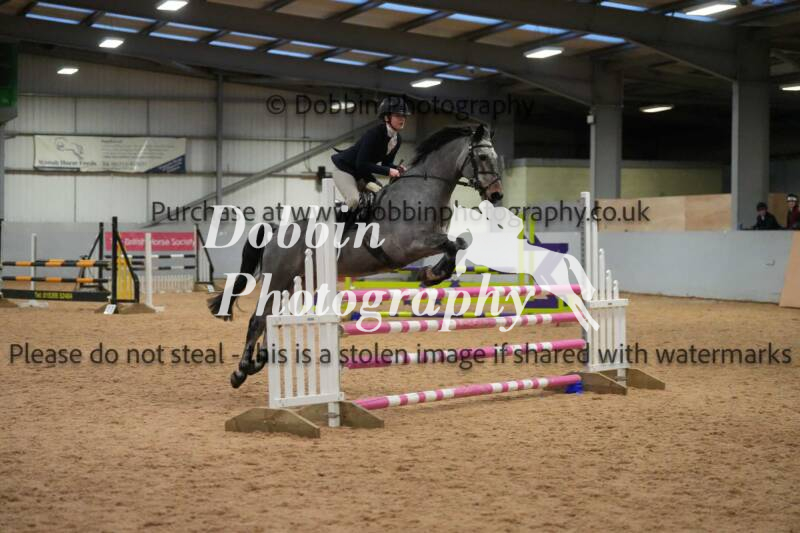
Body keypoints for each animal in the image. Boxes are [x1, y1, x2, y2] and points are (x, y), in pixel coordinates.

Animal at [208, 123, 504, 388]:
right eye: (482, 157)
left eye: (496, 157)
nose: (496, 194)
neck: (424, 191)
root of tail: (276, 230)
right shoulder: (408, 246)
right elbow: (452, 245)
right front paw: (431, 274)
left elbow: (458, 243)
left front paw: (431, 275)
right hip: (276, 279)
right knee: (258, 319)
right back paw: (241, 372)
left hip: (291, 283)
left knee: (270, 320)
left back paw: (257, 361)